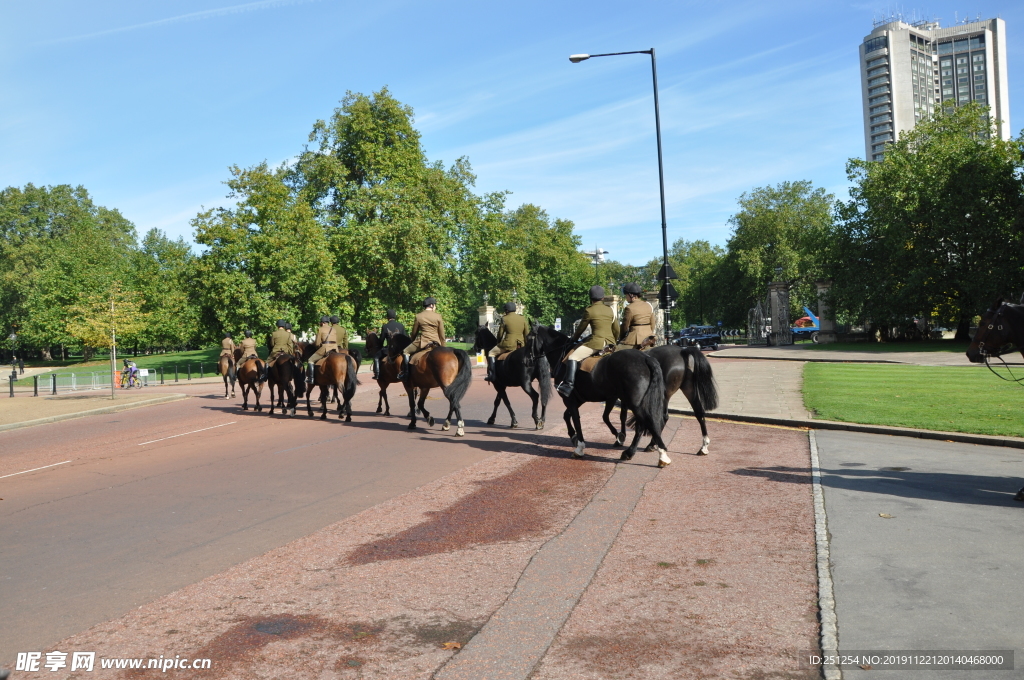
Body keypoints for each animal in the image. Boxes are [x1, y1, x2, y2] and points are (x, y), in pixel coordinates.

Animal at [528, 325, 671, 464]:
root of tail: (646, 358)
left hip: (635, 403)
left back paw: (655, 454)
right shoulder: (583, 399)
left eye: (529, 337)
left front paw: (579, 447)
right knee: (645, 423)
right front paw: (574, 436)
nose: (528, 360)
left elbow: (576, 420)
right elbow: (568, 416)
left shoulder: (570, 400)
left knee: (645, 423)